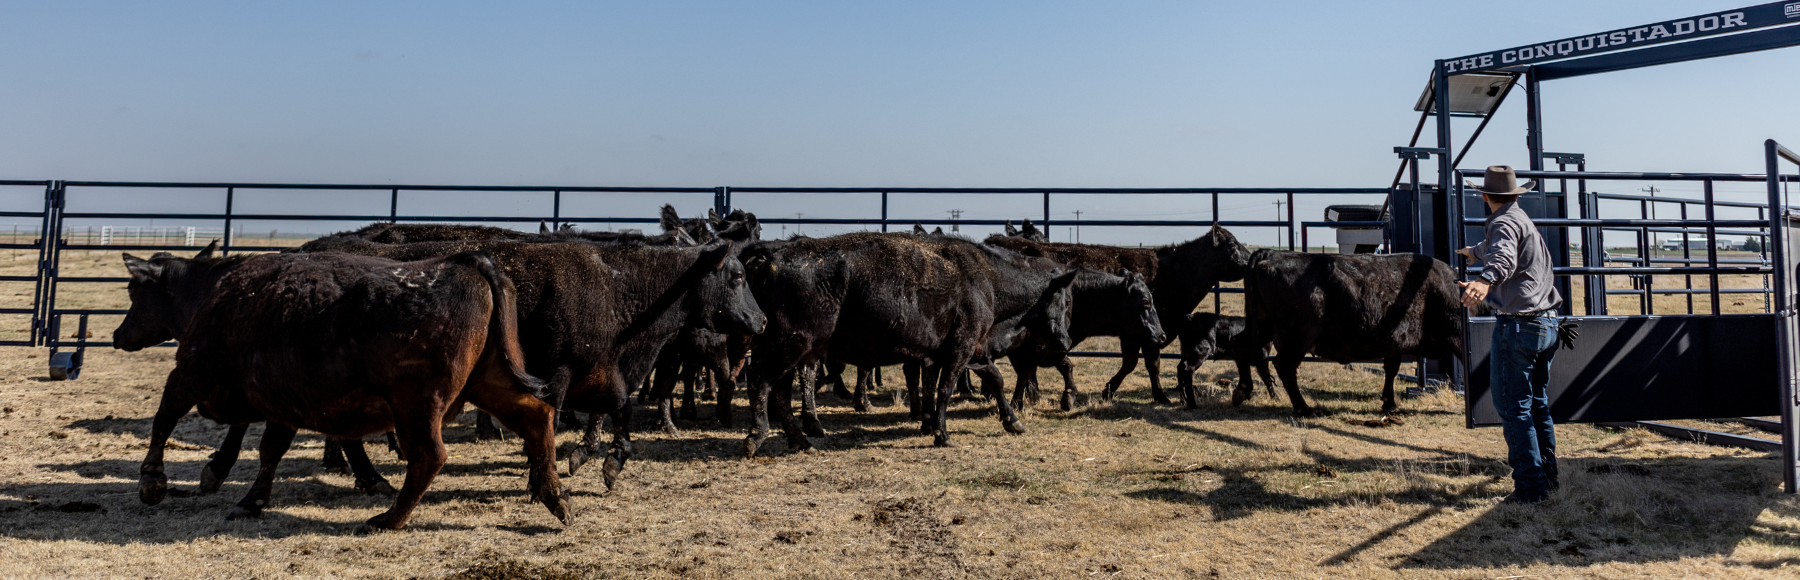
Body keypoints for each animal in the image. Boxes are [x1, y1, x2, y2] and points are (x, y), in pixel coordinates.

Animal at [119, 249, 565, 531]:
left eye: (132, 291)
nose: (117, 334)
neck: (220, 293)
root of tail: (467, 262)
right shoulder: (288, 404)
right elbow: (270, 451)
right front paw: (251, 501)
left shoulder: (190, 373)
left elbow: (164, 418)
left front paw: (153, 481)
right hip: (489, 383)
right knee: (536, 416)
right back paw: (554, 498)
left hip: (418, 404)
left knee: (429, 456)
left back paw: (388, 519)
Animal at [293, 236, 765, 487]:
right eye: (738, 277)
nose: (760, 321)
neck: (618, 289)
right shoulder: (556, 371)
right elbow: (555, 417)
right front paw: (552, 470)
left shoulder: (606, 369)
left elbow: (621, 410)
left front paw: (608, 461)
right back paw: (366, 474)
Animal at [738, 232, 1076, 454]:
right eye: (1067, 301)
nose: (1066, 341)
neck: (987, 279)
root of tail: (771, 257)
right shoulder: (961, 348)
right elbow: (945, 389)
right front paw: (941, 434)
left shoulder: (971, 351)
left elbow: (994, 379)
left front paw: (1012, 421)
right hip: (791, 345)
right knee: (761, 380)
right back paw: (757, 437)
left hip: (790, 349)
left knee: (779, 390)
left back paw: (801, 441)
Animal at [985, 225, 1252, 408]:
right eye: (1232, 244)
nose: (1251, 258)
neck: (1172, 271)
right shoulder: (1143, 331)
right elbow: (1144, 364)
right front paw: (1156, 395)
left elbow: (1135, 363)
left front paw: (1112, 390)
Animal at [1241, 250, 1465, 416]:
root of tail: (1271, 254)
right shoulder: (1456, 336)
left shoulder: (1394, 342)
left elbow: (1391, 369)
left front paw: (1389, 402)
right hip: (1297, 336)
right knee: (1284, 366)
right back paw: (1304, 408)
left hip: (1262, 328)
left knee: (1253, 356)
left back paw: (1248, 392)